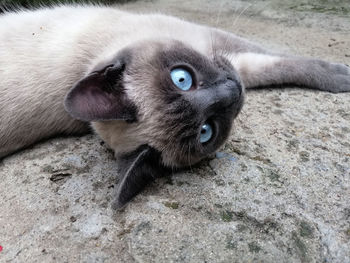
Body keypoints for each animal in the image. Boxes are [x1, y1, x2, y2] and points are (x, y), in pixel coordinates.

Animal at [0, 5, 348, 209]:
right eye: (206, 131)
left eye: (181, 78)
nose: (232, 91)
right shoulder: (227, 57)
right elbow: (276, 65)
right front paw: (343, 76)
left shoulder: (216, 46)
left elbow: (278, 61)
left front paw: (340, 75)